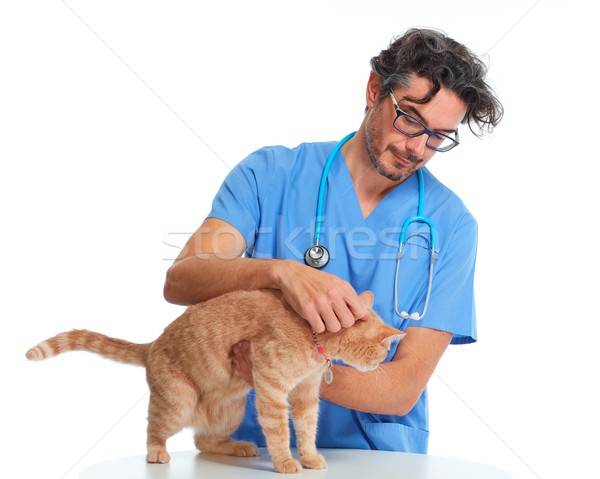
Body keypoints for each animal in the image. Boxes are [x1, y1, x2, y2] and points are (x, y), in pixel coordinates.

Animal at [25, 290, 406, 474]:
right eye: (382, 350)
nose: (382, 364)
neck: (312, 333)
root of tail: (153, 345)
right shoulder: (272, 390)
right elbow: (281, 433)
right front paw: (286, 463)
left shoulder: (306, 395)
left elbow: (307, 430)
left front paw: (310, 458)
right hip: (178, 404)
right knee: (154, 428)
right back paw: (157, 453)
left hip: (232, 409)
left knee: (203, 442)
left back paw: (238, 447)